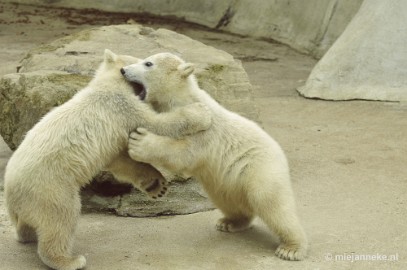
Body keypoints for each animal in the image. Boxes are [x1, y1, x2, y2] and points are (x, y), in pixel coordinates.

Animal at [4, 49, 212, 270]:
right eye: (142, 62)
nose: (126, 71)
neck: (106, 83)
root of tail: (10, 192)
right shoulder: (120, 105)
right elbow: (157, 123)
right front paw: (201, 113)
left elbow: (120, 160)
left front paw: (157, 185)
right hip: (50, 188)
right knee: (61, 218)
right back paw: (69, 260)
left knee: (28, 224)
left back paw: (27, 234)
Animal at [121, 53, 310, 262]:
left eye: (148, 63)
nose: (123, 70)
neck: (182, 97)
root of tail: (280, 153)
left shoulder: (207, 131)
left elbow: (185, 153)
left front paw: (139, 142)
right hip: (228, 181)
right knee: (226, 200)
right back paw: (230, 222)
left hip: (260, 168)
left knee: (271, 202)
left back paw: (291, 249)